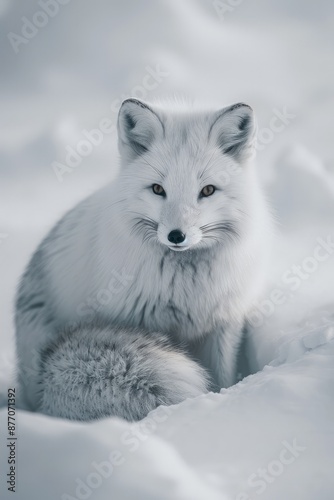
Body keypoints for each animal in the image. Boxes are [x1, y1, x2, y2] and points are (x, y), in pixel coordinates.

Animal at [16, 98, 272, 422]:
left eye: (208, 191)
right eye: (158, 189)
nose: (176, 235)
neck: (188, 289)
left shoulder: (223, 323)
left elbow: (223, 375)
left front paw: (220, 397)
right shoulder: (144, 324)